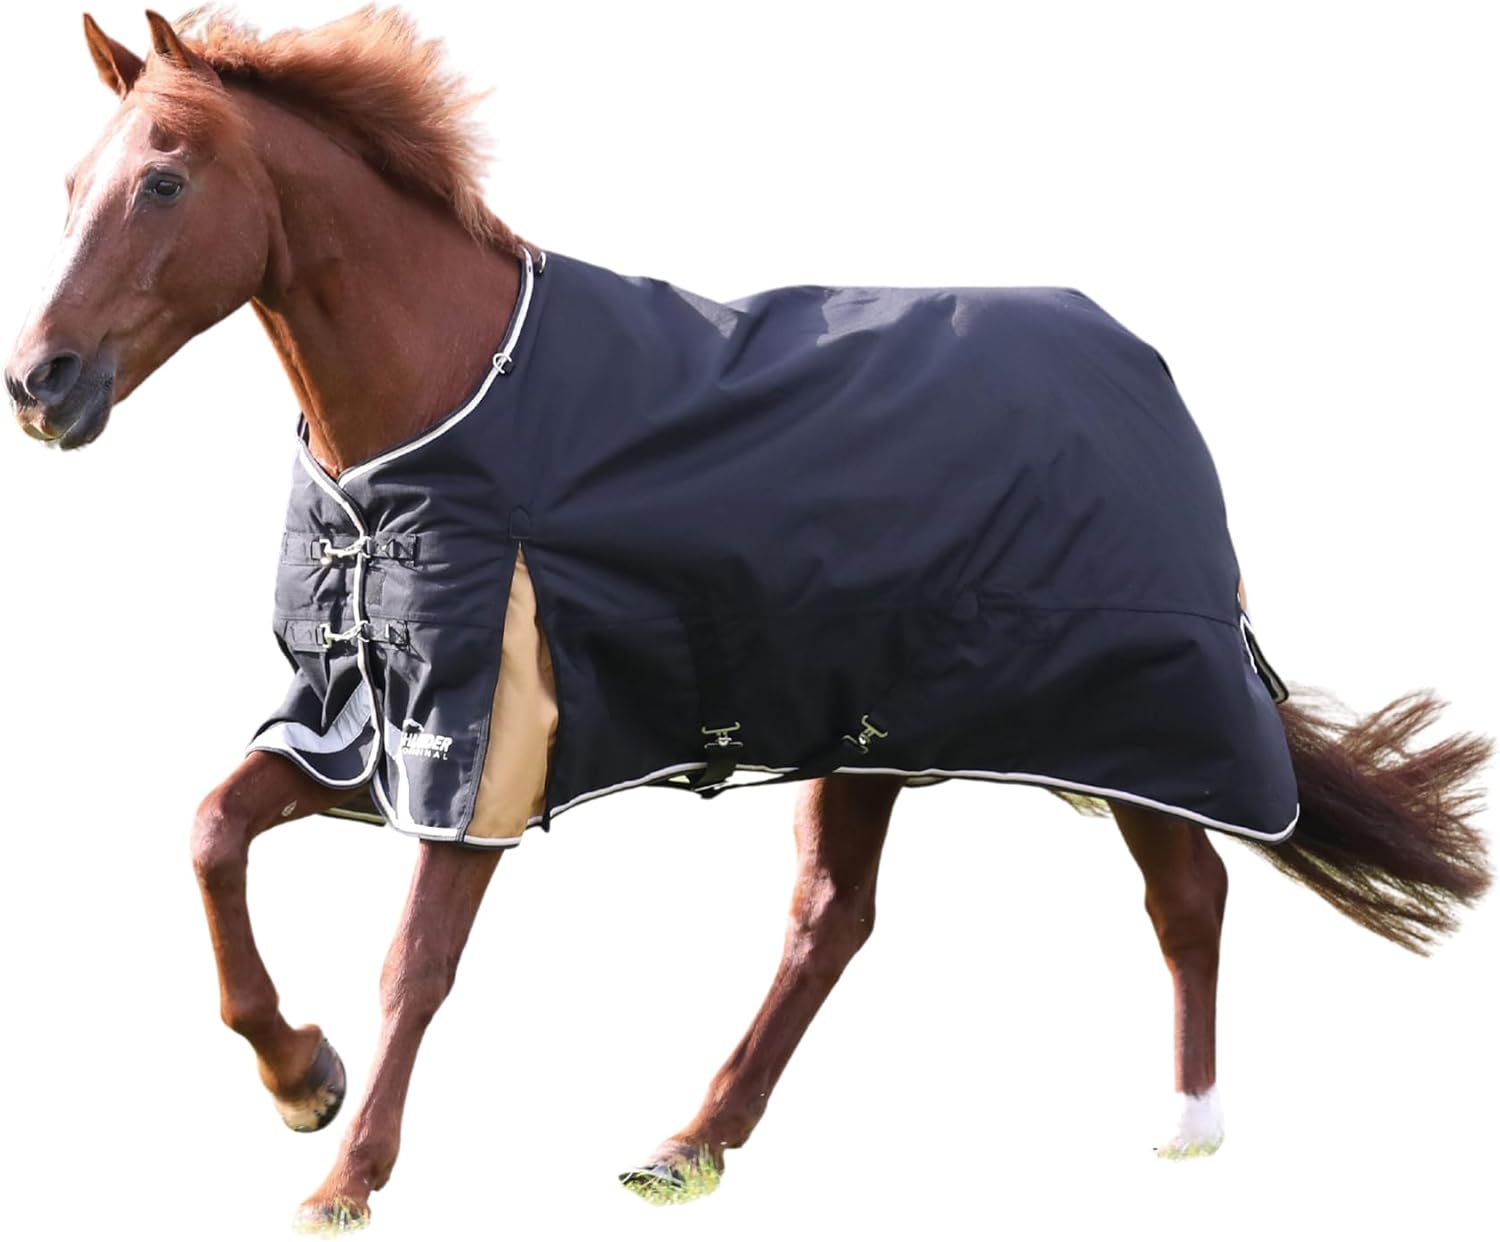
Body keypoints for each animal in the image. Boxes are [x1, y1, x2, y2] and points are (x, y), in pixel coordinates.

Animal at [6, 9, 1491, 1232]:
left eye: (164, 178)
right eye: (71, 182)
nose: (40, 383)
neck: (447, 402)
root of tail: (1146, 366)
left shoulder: (484, 741)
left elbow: (415, 962)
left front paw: (343, 1173)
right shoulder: (365, 728)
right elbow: (212, 830)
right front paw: (299, 1075)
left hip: (1133, 705)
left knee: (1187, 889)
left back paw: (1186, 1130)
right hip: (881, 720)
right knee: (834, 920)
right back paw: (688, 1144)